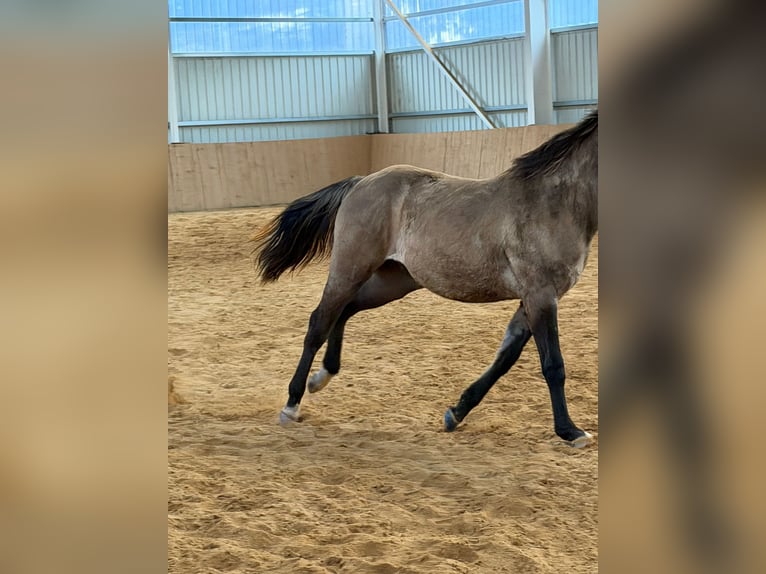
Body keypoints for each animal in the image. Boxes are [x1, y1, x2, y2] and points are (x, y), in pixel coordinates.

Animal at [251, 111, 597, 447]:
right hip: (350, 268)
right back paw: (292, 404)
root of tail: (361, 182)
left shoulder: (533, 299)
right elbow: (552, 365)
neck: (553, 204)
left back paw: (322, 376)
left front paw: (456, 413)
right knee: (319, 321)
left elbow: (505, 357)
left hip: (392, 281)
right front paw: (570, 431)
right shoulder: (541, 295)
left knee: (345, 310)